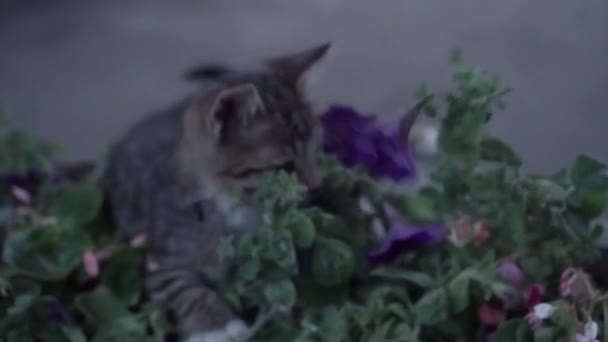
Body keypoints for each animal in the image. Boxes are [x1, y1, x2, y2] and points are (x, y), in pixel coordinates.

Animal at [102, 43, 330, 342]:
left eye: (317, 152)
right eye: (286, 167)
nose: (316, 186)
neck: (236, 209)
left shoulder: (269, 249)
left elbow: (278, 282)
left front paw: (290, 315)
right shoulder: (159, 262)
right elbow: (185, 290)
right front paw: (219, 326)